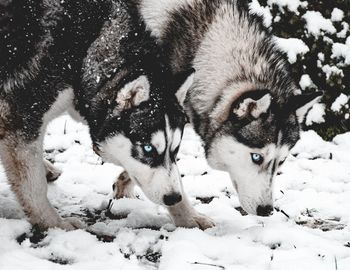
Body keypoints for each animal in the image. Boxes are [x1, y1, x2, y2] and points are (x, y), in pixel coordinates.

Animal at [0, 0, 208, 230]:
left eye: (175, 149)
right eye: (148, 148)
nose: (173, 198)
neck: (87, 45)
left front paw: (188, 215)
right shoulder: (20, 117)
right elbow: (34, 184)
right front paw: (54, 223)